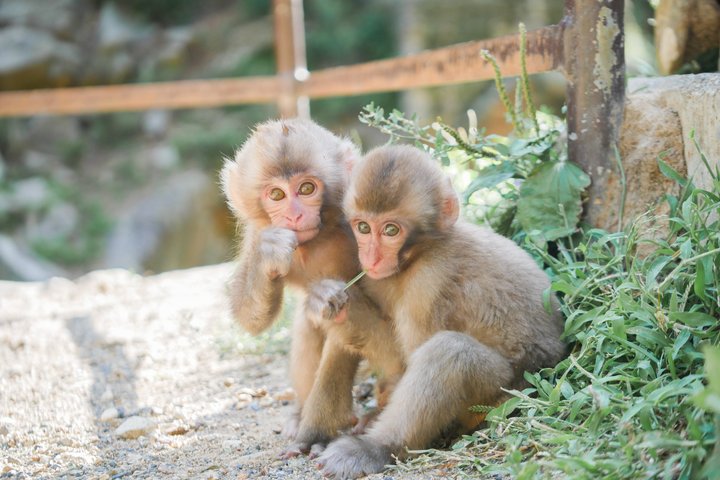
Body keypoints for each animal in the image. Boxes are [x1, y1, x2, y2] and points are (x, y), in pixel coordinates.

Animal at [220, 119, 404, 458]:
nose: (294, 214)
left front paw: (318, 432)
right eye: (276, 194)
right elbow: (251, 319)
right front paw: (270, 254)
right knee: (307, 321)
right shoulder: (260, 230)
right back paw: (300, 412)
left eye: (306, 188)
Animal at [314, 144, 566, 478]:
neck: (423, 251)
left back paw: (377, 448)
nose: (371, 257)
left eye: (391, 230)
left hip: (505, 394)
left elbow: (408, 358)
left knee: (450, 353)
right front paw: (328, 302)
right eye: (364, 228)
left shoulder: (429, 282)